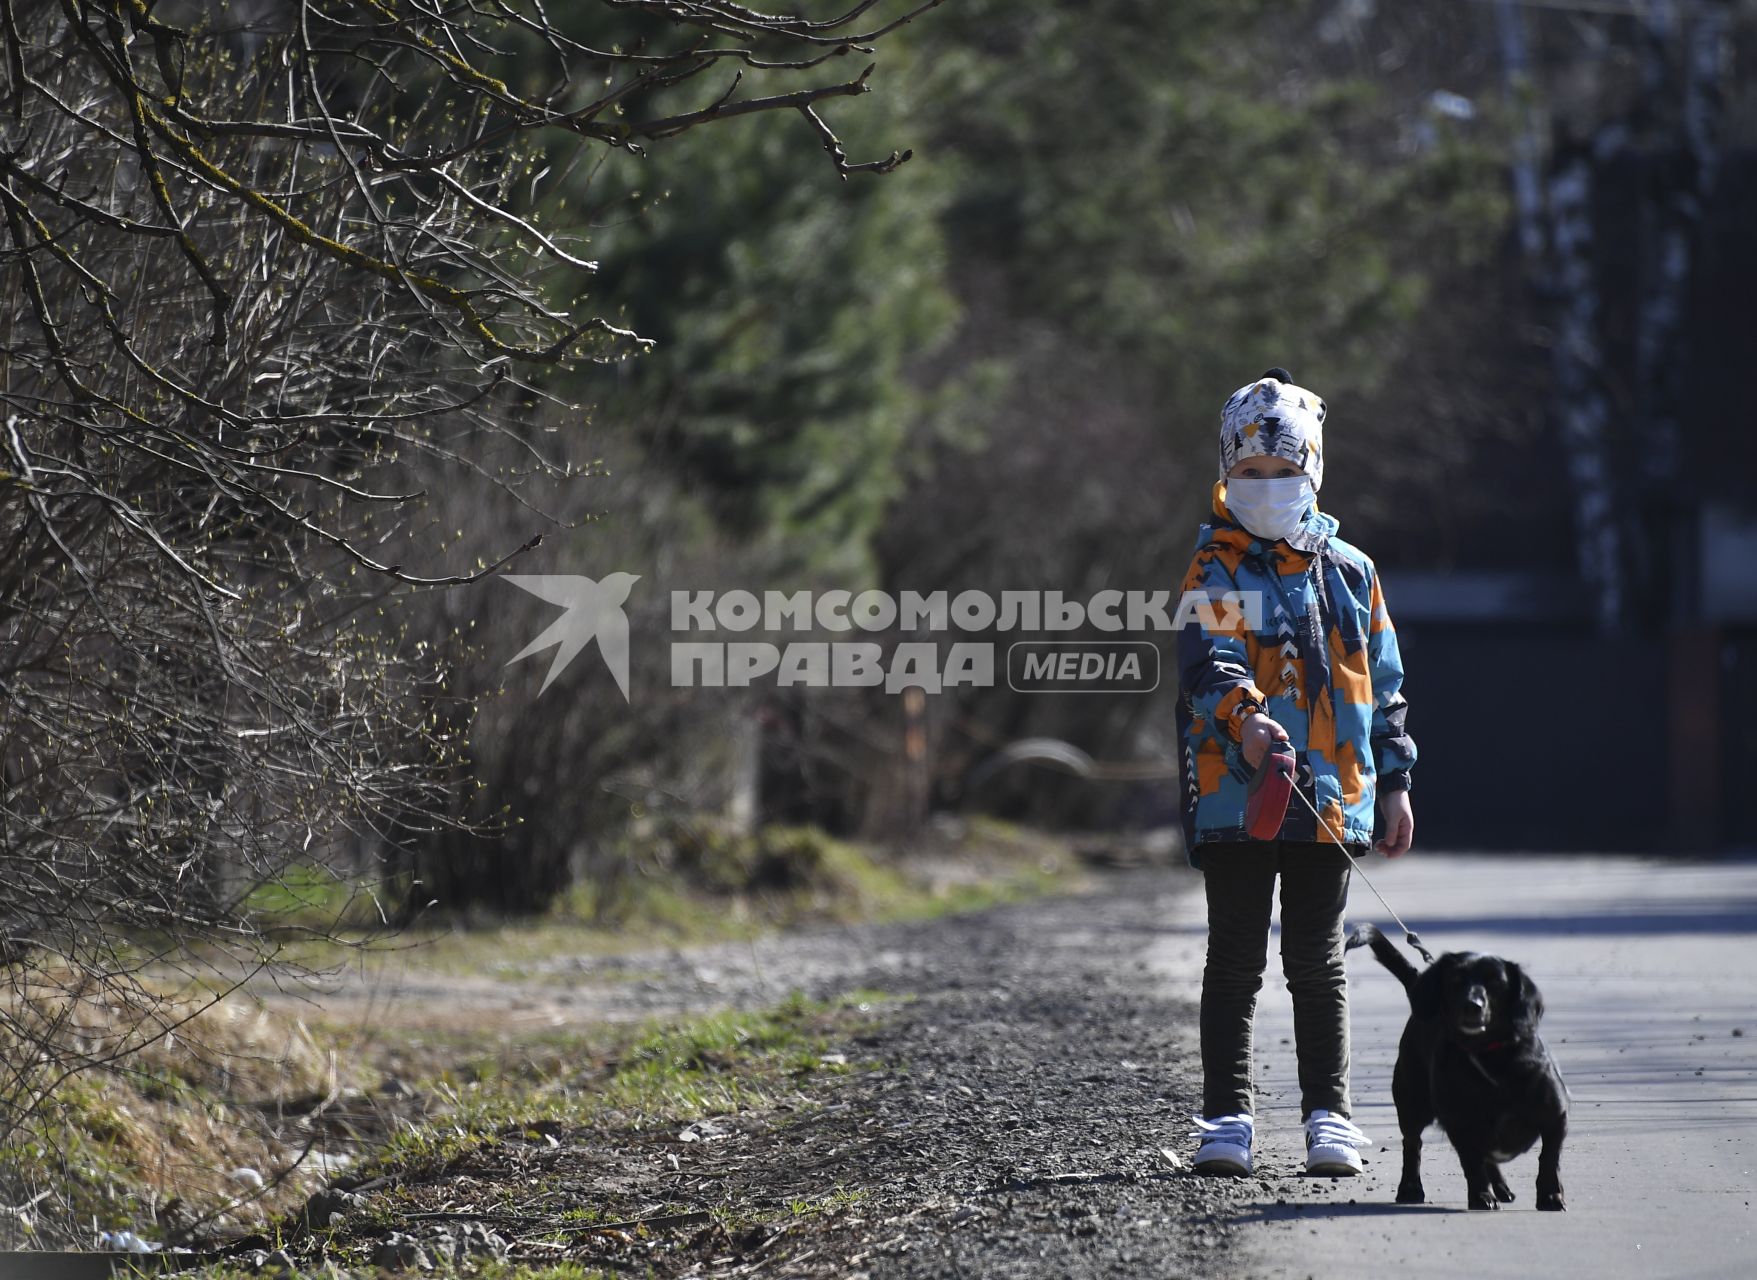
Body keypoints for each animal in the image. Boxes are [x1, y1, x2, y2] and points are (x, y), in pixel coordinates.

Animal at [1342, 920, 1567, 1208]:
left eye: (1496, 982)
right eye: (1455, 980)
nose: (1472, 1005)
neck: (1489, 1056)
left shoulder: (1556, 1117)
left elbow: (1549, 1159)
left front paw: (1550, 1196)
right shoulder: (1460, 1126)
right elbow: (1472, 1163)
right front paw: (1481, 1195)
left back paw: (1501, 1187)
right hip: (1412, 1104)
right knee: (1412, 1145)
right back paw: (1410, 1188)